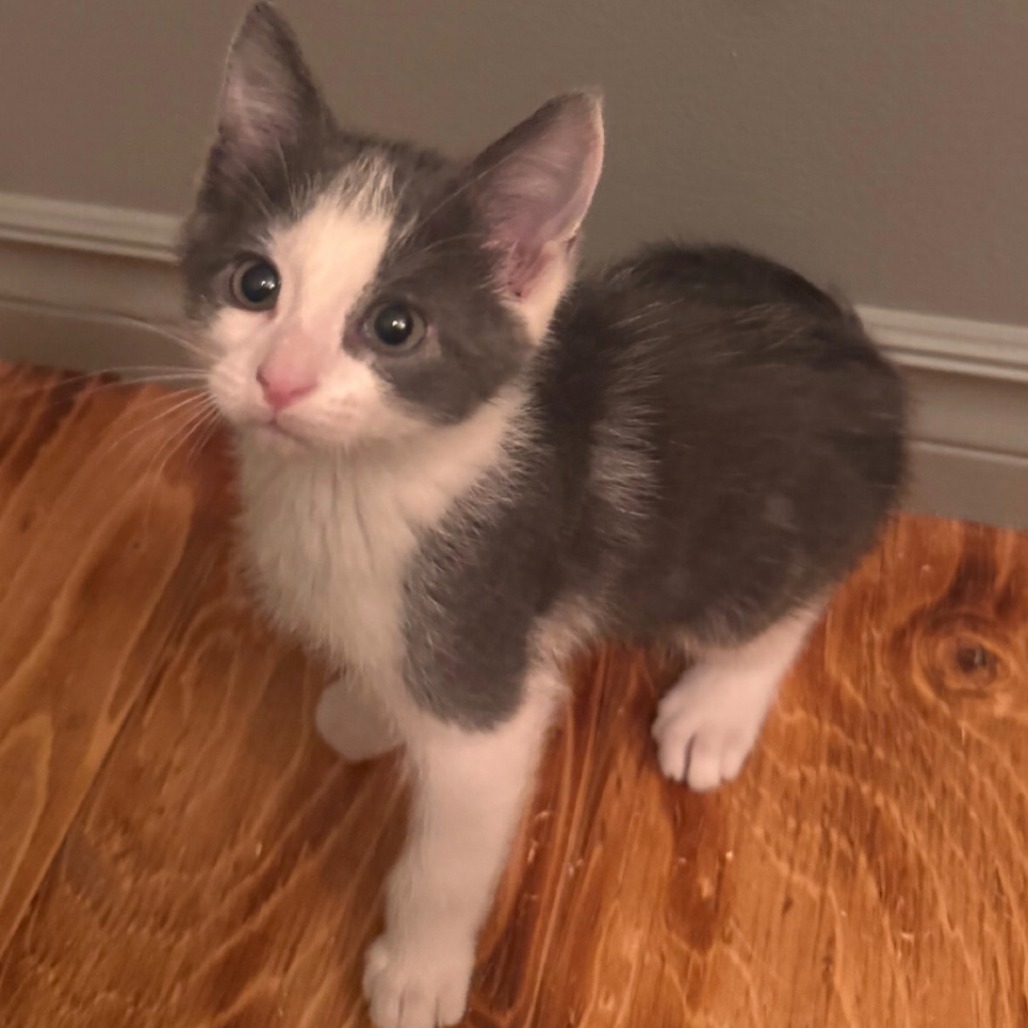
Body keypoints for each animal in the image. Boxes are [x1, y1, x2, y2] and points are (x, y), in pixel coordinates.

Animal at [179, 4, 907, 1027]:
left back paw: (716, 709)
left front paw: (419, 971)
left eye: (395, 328)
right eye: (255, 285)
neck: (360, 486)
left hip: (755, 535)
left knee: (784, 600)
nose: (280, 381)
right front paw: (367, 708)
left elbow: (447, 858)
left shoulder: (487, 670)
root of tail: (862, 349)